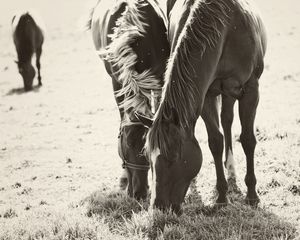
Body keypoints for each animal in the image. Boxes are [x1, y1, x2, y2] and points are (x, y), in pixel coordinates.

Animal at [137, 0, 266, 214]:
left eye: (173, 156)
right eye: (147, 156)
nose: (159, 207)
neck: (226, 27)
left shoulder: (250, 89)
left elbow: (248, 140)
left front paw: (252, 195)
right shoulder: (206, 94)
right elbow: (215, 141)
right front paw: (221, 197)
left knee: (228, 120)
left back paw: (232, 169)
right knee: (225, 120)